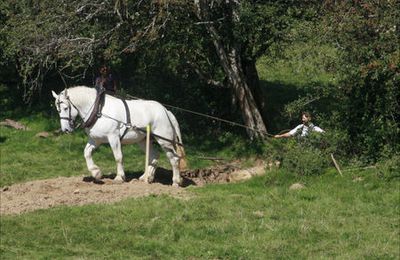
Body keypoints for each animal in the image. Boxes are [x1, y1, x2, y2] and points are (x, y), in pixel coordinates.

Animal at [51, 86, 186, 186]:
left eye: (66, 108)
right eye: (57, 110)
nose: (65, 129)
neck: (99, 110)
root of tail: (166, 111)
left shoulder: (113, 137)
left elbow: (118, 157)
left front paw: (119, 177)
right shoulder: (96, 140)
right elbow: (87, 153)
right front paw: (96, 173)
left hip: (164, 141)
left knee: (174, 159)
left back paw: (176, 181)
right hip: (143, 140)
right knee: (154, 156)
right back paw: (146, 177)